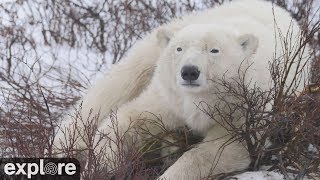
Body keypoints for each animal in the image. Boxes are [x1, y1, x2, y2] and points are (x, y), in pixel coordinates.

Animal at [53, 0, 308, 178]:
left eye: (214, 50)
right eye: (179, 48)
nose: (189, 71)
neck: (203, 100)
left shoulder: (244, 106)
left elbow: (222, 149)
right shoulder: (170, 97)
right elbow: (129, 119)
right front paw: (102, 167)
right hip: (160, 42)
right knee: (117, 85)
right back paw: (63, 147)